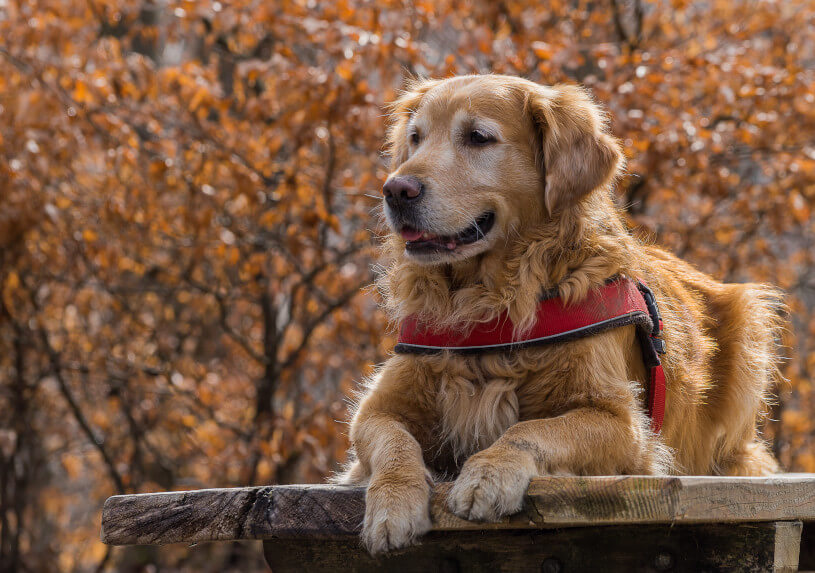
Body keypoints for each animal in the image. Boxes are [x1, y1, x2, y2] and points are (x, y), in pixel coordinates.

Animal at [338, 73, 784, 552]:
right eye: (416, 138)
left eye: (478, 137)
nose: (395, 190)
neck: (491, 302)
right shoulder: (377, 409)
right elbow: (392, 443)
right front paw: (393, 503)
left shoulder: (622, 423)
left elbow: (531, 431)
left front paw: (488, 474)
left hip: (750, 323)